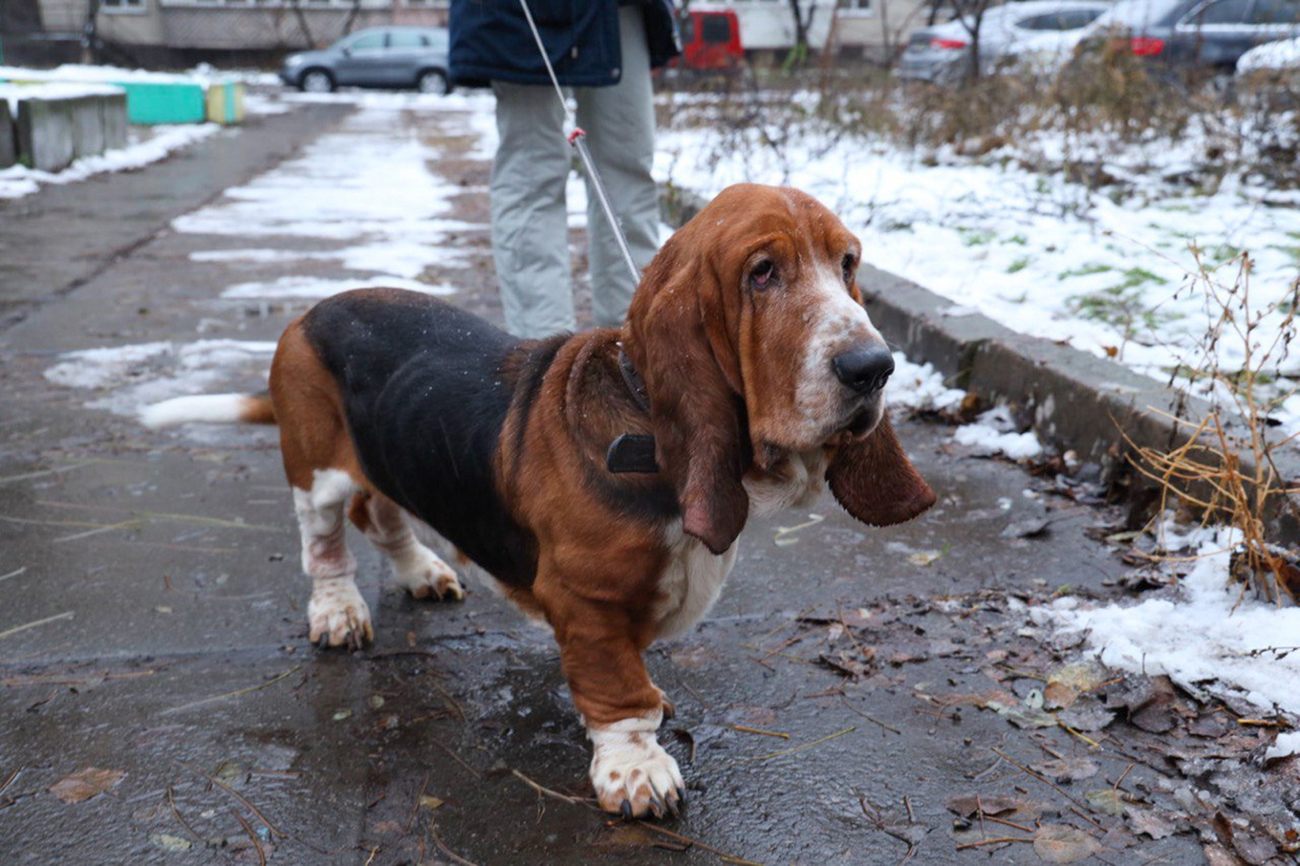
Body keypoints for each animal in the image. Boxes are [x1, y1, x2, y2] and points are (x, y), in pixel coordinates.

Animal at [142, 182, 935, 816]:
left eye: (848, 265)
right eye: (762, 273)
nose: (875, 367)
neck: (645, 424)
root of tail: (310, 312)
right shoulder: (585, 601)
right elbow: (620, 693)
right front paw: (636, 772)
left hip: (393, 454)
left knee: (384, 514)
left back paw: (422, 572)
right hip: (316, 471)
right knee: (327, 540)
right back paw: (338, 612)